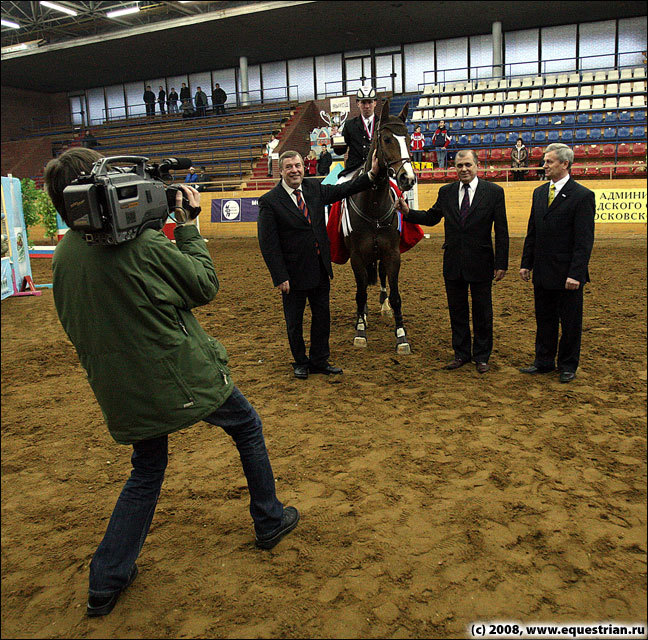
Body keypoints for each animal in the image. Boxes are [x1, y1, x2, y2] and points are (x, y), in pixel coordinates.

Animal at [344, 99, 416, 356]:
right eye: (386, 139)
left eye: (409, 139)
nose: (408, 179)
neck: (374, 203)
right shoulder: (356, 255)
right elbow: (360, 293)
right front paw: (360, 332)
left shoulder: (392, 253)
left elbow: (395, 296)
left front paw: (402, 336)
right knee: (364, 284)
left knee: (382, 278)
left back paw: (383, 307)